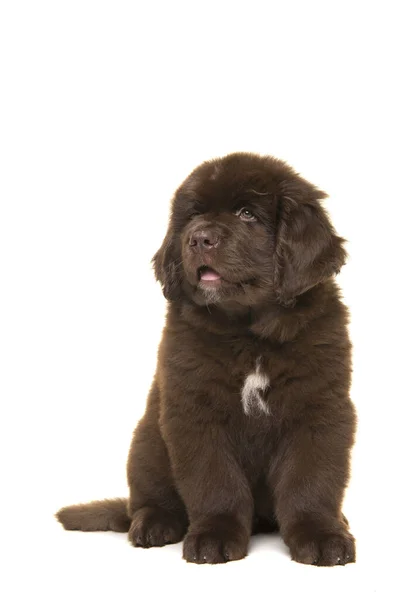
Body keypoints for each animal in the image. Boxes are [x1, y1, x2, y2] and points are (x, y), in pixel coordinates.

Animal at [56, 152, 356, 564]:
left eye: (247, 214)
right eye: (194, 215)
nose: (198, 237)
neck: (250, 334)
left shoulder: (319, 407)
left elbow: (311, 479)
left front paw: (321, 535)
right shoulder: (194, 410)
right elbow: (214, 480)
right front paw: (215, 535)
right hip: (146, 442)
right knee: (147, 499)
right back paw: (152, 523)